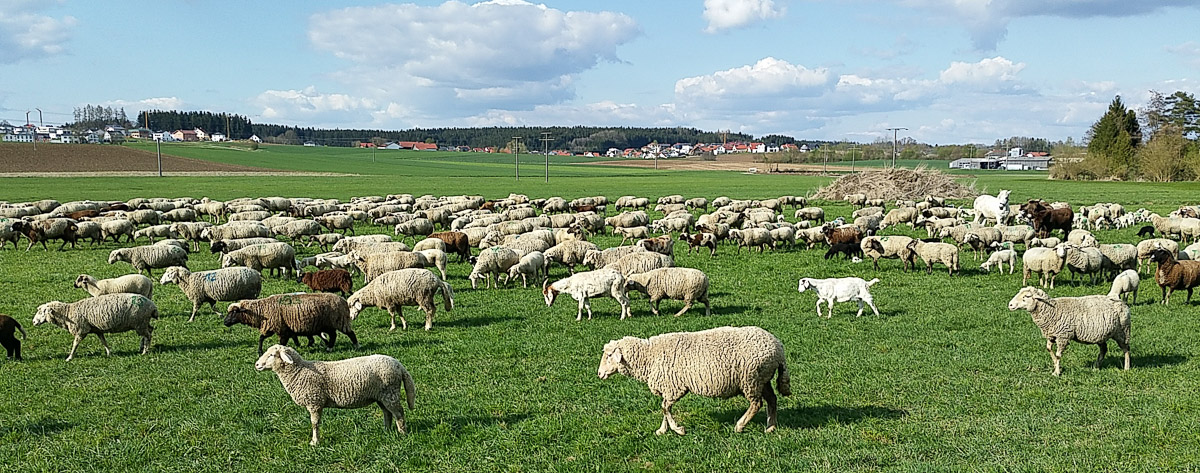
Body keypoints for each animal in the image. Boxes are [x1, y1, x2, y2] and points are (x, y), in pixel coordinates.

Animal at [253, 345, 417, 444]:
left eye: (272, 354)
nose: (257, 364)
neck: (299, 371)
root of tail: (399, 365)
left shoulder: (315, 402)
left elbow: (314, 423)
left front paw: (315, 442)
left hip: (390, 393)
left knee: (399, 413)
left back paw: (402, 433)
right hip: (380, 396)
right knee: (387, 413)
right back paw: (386, 431)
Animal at [597, 326, 787, 434]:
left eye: (609, 356)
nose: (599, 374)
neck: (649, 357)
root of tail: (778, 348)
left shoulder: (674, 388)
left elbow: (665, 408)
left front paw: (678, 430)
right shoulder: (667, 388)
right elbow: (664, 409)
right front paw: (662, 430)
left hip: (751, 379)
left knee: (756, 404)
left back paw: (740, 426)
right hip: (762, 379)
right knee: (772, 400)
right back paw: (771, 427)